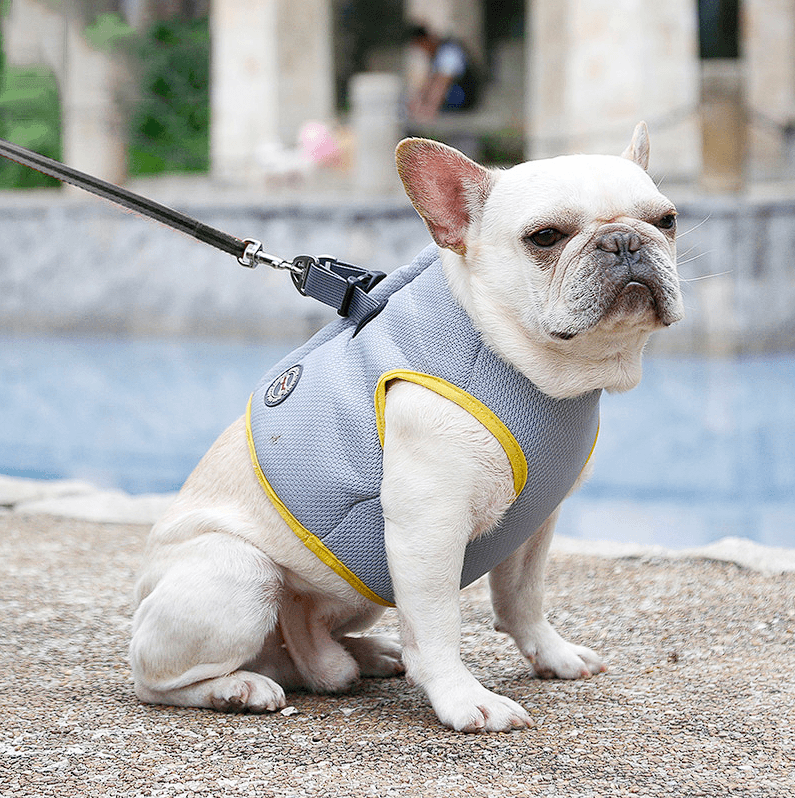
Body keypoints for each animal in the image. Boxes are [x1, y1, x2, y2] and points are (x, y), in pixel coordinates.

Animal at [129, 123, 684, 732]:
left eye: (666, 220)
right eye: (545, 237)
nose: (624, 242)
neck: (526, 366)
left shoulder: (536, 525)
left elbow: (522, 598)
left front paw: (552, 655)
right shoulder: (428, 527)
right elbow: (438, 626)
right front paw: (465, 699)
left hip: (351, 597)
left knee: (301, 644)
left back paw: (359, 655)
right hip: (241, 575)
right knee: (156, 677)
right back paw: (237, 688)